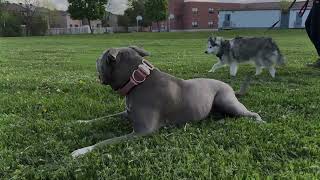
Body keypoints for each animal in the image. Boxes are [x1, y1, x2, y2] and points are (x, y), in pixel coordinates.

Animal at [71, 46, 264, 158]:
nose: (95, 60)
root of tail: (230, 87)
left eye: (100, 58)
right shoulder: (126, 113)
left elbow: (104, 142)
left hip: (226, 101)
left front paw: (81, 151)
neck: (138, 80)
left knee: (252, 113)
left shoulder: (142, 132)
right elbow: (102, 118)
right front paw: (80, 122)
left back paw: (259, 121)